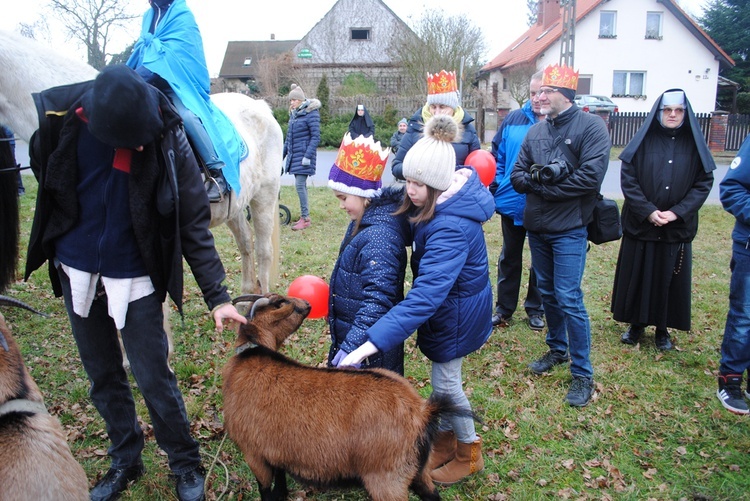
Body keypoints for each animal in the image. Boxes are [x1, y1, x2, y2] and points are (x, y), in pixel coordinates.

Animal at [222, 292, 452, 500]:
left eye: (280, 302)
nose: (307, 303)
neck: (251, 356)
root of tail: (422, 412)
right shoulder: (273, 453)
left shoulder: (253, 453)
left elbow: (266, 490)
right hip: (418, 471)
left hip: (386, 478)